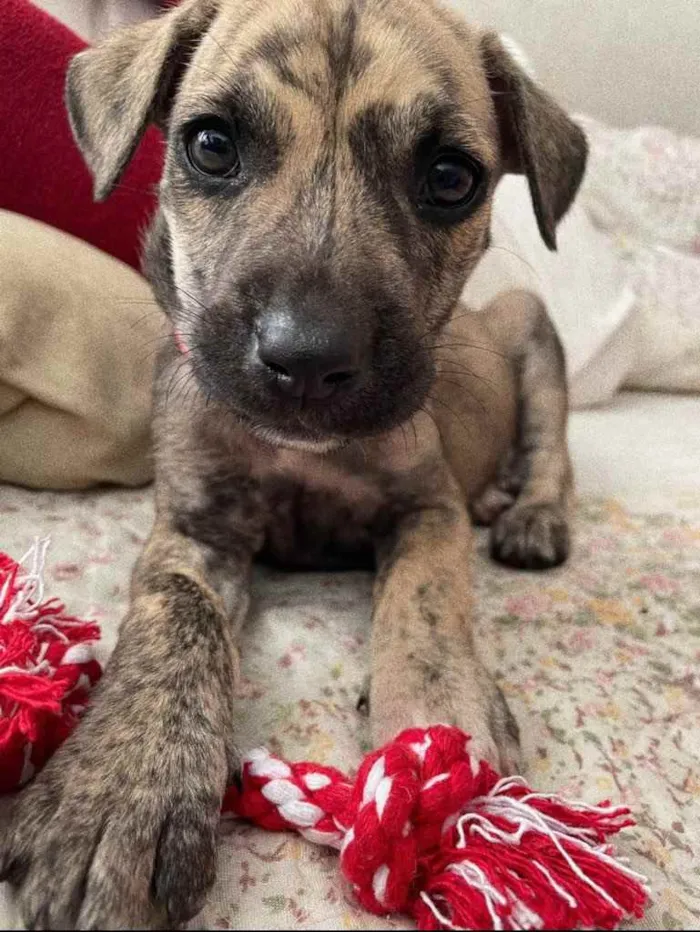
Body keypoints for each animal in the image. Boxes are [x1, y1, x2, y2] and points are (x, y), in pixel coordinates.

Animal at [0, 0, 584, 924]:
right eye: (210, 145)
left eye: (451, 176)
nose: (308, 358)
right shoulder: (195, 526)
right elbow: (179, 613)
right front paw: (122, 785)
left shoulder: (427, 508)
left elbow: (424, 601)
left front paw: (440, 729)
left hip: (532, 328)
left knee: (552, 449)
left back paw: (527, 512)